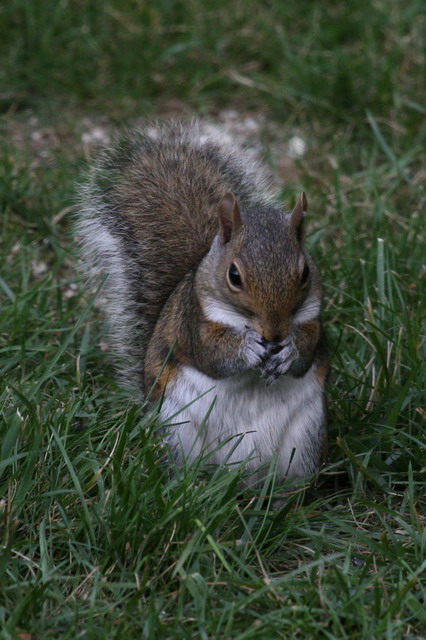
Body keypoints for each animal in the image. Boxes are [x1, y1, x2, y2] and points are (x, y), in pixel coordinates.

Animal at [77, 119, 329, 484]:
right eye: (234, 275)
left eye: (306, 271)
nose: (275, 334)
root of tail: (238, 477)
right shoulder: (193, 320)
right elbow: (211, 355)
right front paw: (246, 347)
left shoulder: (313, 318)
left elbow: (307, 352)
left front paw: (289, 350)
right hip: (177, 430)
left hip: (305, 440)